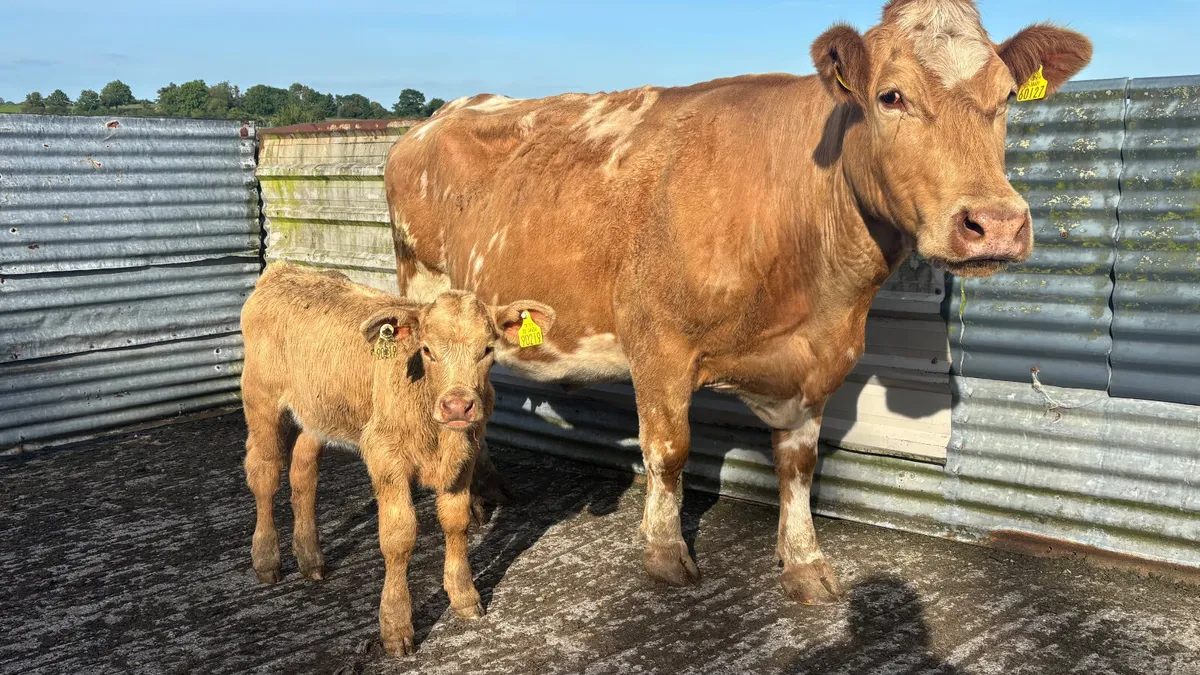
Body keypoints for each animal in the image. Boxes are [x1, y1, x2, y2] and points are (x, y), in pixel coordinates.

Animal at [240, 263, 555, 655]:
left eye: (487, 349)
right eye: (427, 350)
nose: (457, 406)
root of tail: (283, 270)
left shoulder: (465, 455)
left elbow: (456, 522)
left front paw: (464, 597)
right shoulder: (384, 456)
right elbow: (399, 536)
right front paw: (396, 625)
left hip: (317, 413)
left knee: (303, 475)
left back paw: (310, 558)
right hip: (261, 400)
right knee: (265, 474)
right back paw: (267, 560)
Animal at [382, 0, 1092, 605]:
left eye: (1007, 97)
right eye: (892, 96)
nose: (995, 224)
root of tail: (432, 122)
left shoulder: (817, 362)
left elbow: (799, 466)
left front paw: (805, 562)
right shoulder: (658, 344)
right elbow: (669, 452)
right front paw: (666, 554)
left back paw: (490, 488)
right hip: (429, 289)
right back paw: (472, 497)